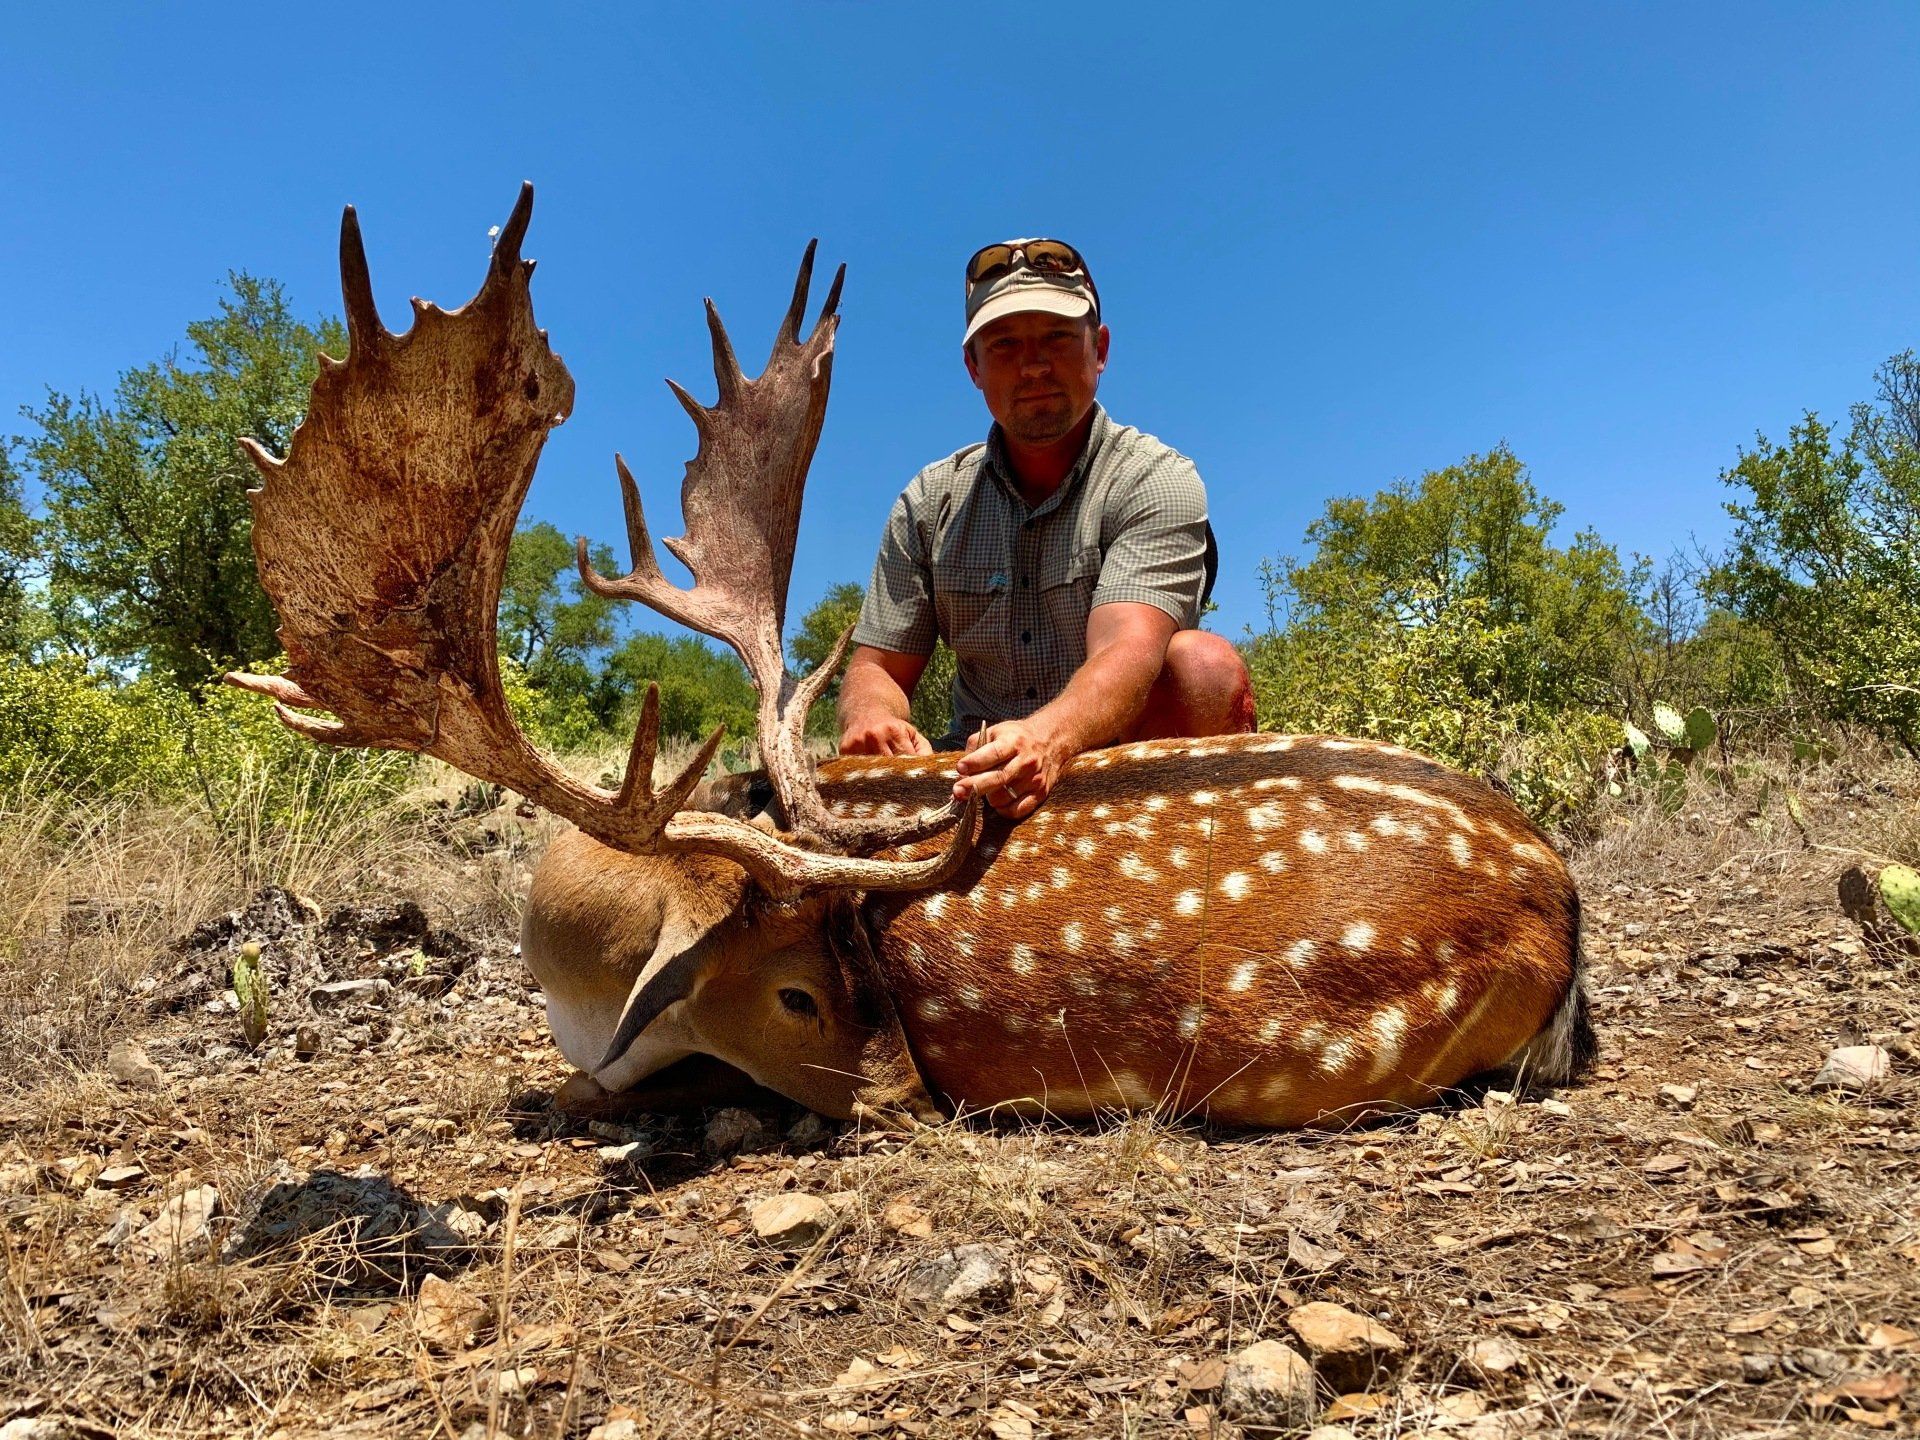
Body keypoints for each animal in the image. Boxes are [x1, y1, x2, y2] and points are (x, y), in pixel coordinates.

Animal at [229, 185, 1593, 1129]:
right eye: (798, 987)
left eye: (864, 967)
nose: (912, 1104)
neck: (578, 954)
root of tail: (1558, 895)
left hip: (1315, 1054)